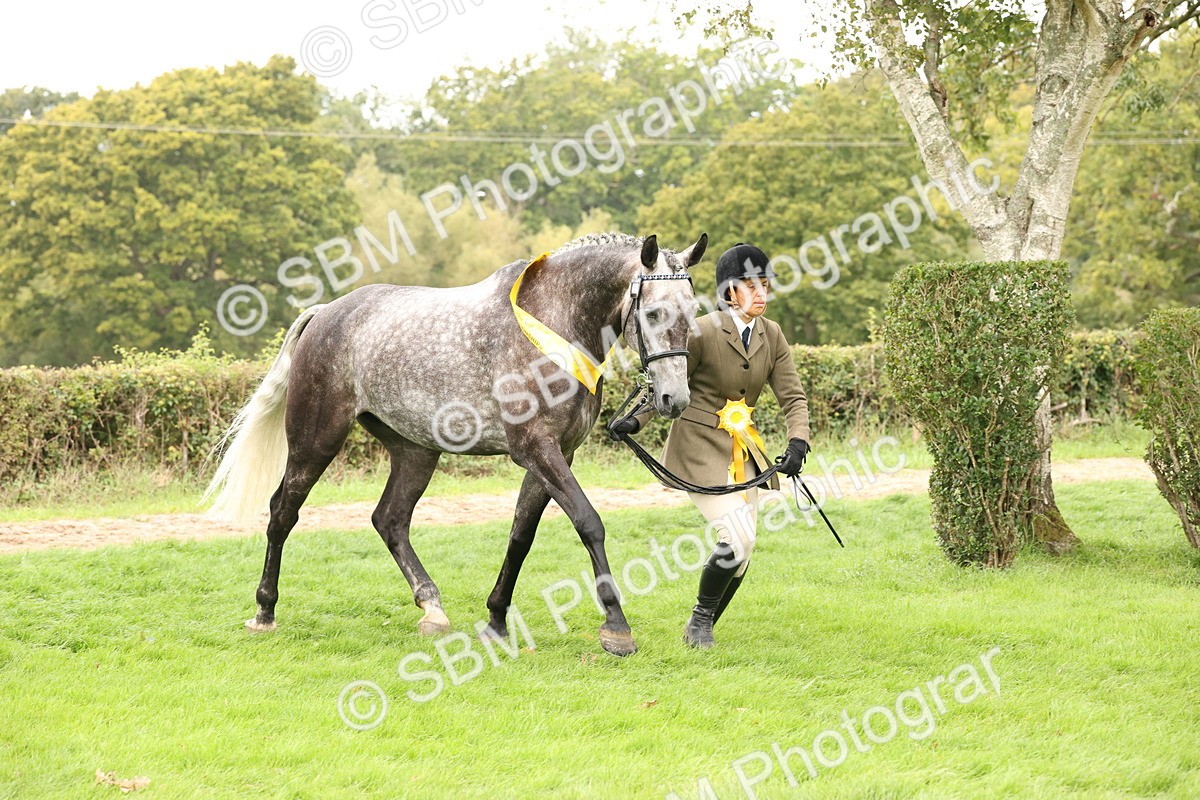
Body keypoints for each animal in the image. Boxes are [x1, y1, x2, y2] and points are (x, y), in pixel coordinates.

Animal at [205, 231, 708, 656]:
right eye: (653, 313)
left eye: (693, 312)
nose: (673, 398)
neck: (554, 324)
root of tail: (326, 312)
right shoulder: (537, 450)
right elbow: (589, 523)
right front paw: (617, 627)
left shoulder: (554, 455)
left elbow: (521, 535)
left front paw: (496, 621)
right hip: (316, 440)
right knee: (282, 511)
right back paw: (264, 611)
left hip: (415, 451)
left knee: (389, 519)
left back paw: (432, 608)